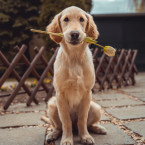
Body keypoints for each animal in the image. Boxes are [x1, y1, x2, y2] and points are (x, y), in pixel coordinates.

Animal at [45, 5, 106, 145]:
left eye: (82, 19)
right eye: (66, 19)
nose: (74, 34)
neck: (74, 58)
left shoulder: (87, 93)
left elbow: (82, 119)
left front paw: (85, 137)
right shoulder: (60, 94)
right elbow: (66, 121)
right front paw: (67, 139)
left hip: (95, 107)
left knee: (87, 124)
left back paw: (97, 128)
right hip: (52, 105)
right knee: (59, 127)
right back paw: (53, 134)